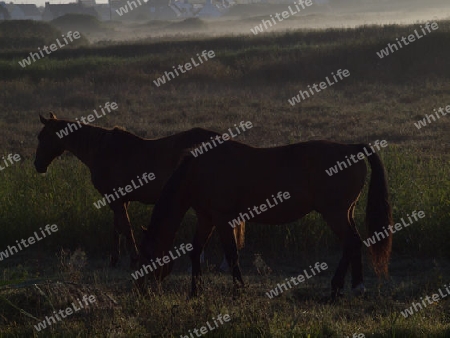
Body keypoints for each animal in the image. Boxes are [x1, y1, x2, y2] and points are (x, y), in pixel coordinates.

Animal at [34, 113, 246, 266]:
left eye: (42, 136)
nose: (37, 166)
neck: (103, 150)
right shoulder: (119, 199)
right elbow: (117, 227)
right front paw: (115, 259)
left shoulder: (116, 199)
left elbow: (125, 227)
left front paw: (134, 258)